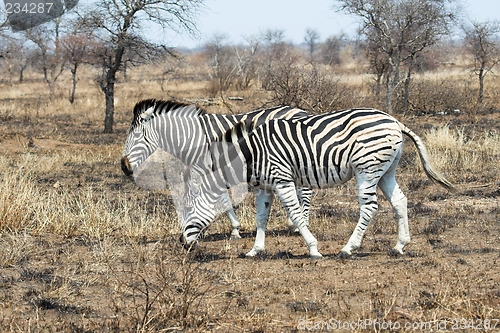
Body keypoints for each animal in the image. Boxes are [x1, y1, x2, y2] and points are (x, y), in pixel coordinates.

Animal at [120, 98, 312, 239]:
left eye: (137, 136)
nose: (124, 166)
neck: (192, 137)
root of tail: (303, 111)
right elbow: (223, 200)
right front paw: (234, 229)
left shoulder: (205, 168)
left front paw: (229, 229)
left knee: (305, 191)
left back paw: (300, 223)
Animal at [181, 107, 458, 258]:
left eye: (188, 209)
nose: (183, 244)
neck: (251, 153)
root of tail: (395, 121)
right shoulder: (265, 187)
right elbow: (262, 218)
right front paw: (255, 250)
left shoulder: (282, 179)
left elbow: (295, 213)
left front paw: (313, 249)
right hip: (386, 170)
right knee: (400, 200)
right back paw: (399, 246)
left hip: (367, 169)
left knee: (370, 207)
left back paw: (348, 248)